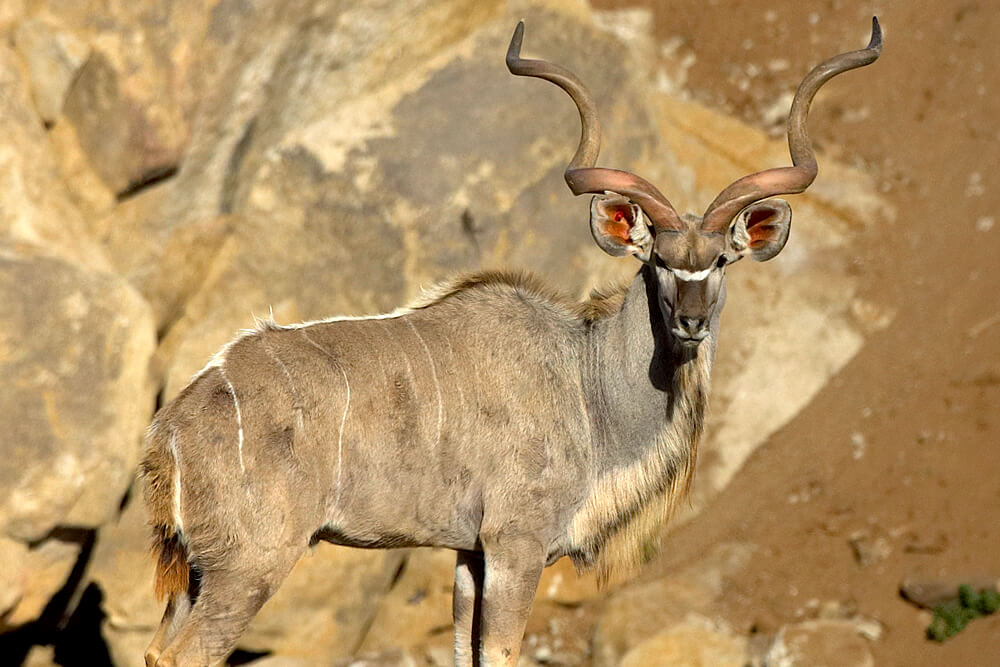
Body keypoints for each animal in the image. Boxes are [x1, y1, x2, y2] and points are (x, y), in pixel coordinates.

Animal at [143, 19, 884, 667]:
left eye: (722, 261)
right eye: (658, 260)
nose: (692, 323)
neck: (585, 383)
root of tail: (170, 429)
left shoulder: (470, 554)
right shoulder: (514, 544)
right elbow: (499, 651)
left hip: (197, 573)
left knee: (156, 649)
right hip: (251, 565)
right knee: (188, 654)